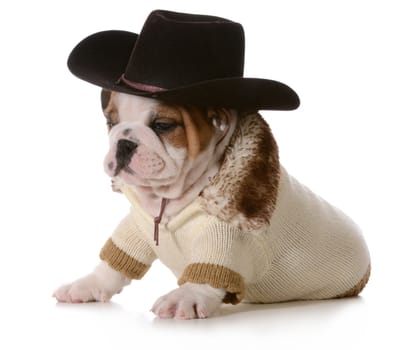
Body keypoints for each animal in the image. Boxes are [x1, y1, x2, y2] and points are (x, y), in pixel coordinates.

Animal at [53, 89, 370, 318]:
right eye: (111, 122)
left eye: (163, 125)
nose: (123, 142)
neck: (167, 199)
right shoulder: (138, 226)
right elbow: (115, 262)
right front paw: (88, 284)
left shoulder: (227, 237)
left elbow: (209, 271)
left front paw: (184, 296)